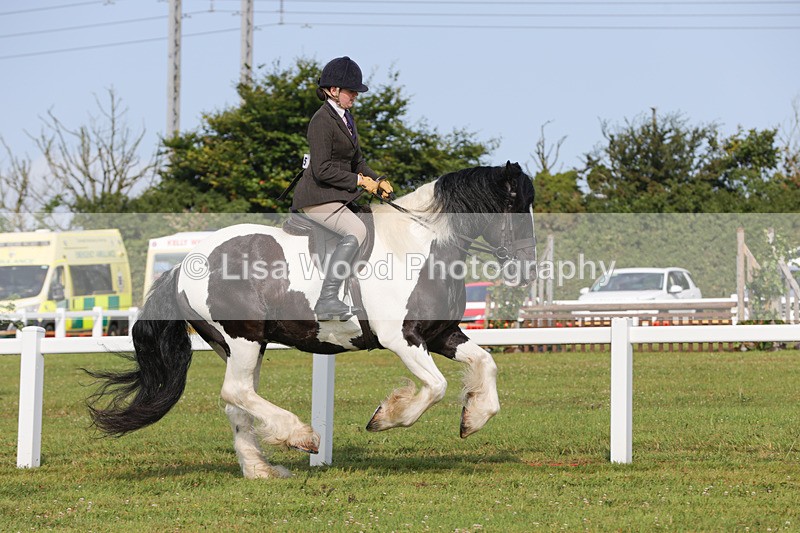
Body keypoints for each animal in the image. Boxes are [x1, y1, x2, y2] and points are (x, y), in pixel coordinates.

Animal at [86, 162, 537, 479]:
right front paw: (387, 416)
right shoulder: (402, 338)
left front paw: (473, 418)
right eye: (513, 207)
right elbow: (437, 386)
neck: (420, 244)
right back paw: (301, 436)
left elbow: (486, 363)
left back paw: (261, 470)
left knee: (237, 400)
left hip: (238, 345)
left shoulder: (442, 333)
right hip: (243, 338)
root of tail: (185, 264)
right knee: (236, 392)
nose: (526, 271)